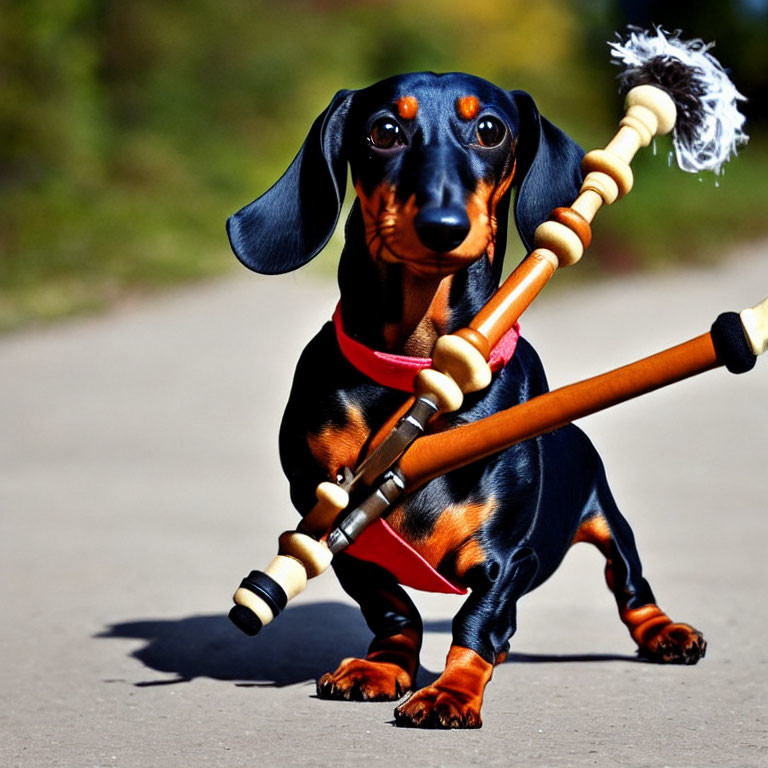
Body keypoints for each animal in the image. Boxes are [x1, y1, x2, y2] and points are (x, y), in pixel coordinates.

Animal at [228, 75, 708, 728]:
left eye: (489, 129)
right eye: (383, 131)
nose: (443, 224)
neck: (413, 368)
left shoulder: (508, 558)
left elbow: (477, 618)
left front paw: (451, 690)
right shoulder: (326, 520)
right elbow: (389, 603)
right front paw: (383, 666)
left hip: (608, 518)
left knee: (630, 582)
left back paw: (664, 632)